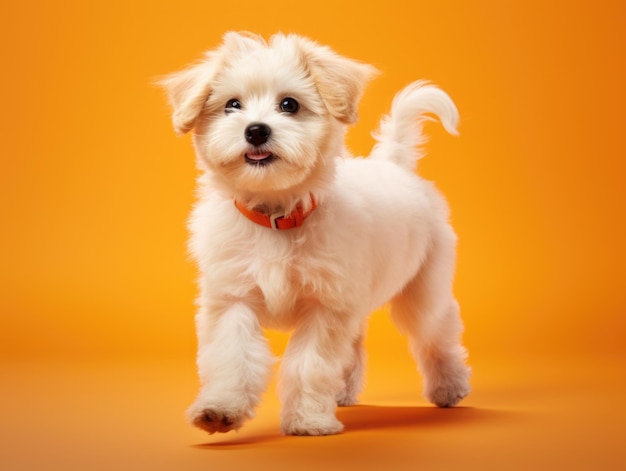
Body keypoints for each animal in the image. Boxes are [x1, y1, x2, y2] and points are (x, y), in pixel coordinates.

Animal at [158, 32, 470, 438]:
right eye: (232, 105)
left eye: (289, 104)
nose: (255, 129)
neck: (276, 215)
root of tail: (395, 166)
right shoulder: (232, 298)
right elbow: (232, 356)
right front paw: (219, 409)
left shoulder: (325, 306)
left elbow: (309, 365)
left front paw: (308, 421)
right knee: (355, 343)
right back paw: (343, 390)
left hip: (423, 289)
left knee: (438, 330)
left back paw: (450, 385)